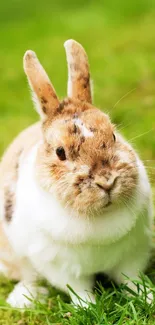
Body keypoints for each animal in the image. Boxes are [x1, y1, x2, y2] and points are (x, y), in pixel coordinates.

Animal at [0, 38, 153, 306]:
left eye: (114, 136)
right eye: (60, 152)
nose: (107, 181)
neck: (99, 216)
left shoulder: (134, 253)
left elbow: (133, 280)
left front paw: (150, 297)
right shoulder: (63, 269)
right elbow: (80, 291)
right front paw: (89, 306)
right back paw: (26, 298)